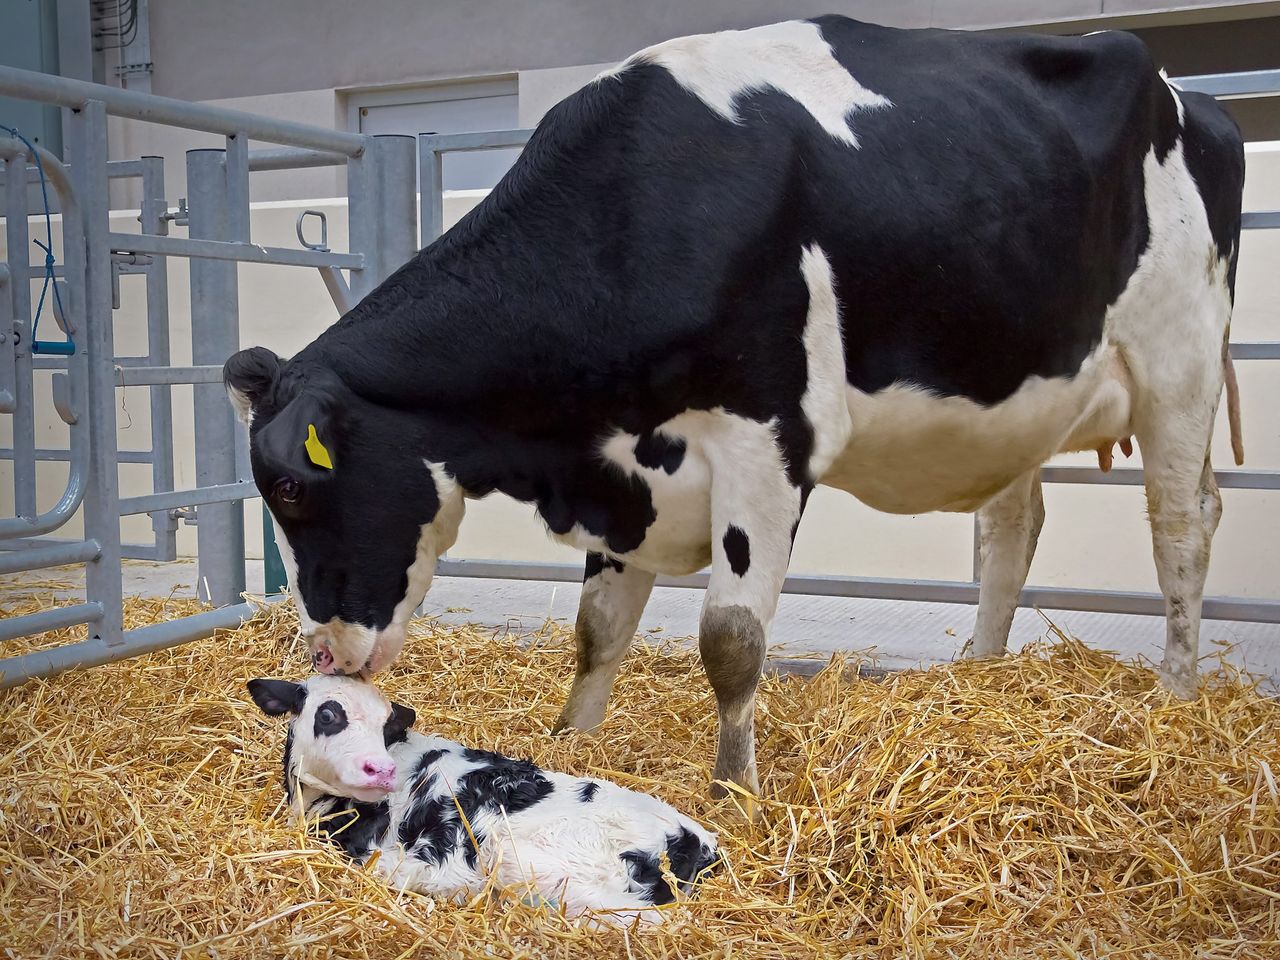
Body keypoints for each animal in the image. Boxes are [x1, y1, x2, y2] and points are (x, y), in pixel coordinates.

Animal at [224, 17, 1246, 804]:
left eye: (292, 485)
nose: (326, 653)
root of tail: (1189, 93)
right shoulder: (624, 464)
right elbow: (598, 629)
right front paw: (569, 742)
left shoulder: (765, 440)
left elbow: (732, 641)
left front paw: (735, 789)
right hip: (1016, 395)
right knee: (1013, 526)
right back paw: (982, 678)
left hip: (1179, 359)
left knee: (1183, 524)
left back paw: (1174, 697)